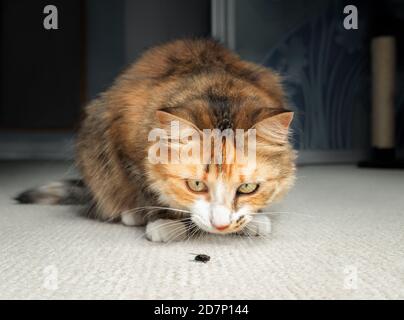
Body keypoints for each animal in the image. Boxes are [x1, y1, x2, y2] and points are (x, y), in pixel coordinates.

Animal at [15, 38, 296, 241]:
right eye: (196, 185)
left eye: (248, 188)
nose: (221, 225)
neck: (217, 91)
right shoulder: (124, 143)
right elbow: (151, 191)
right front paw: (166, 224)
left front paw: (255, 220)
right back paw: (133, 215)